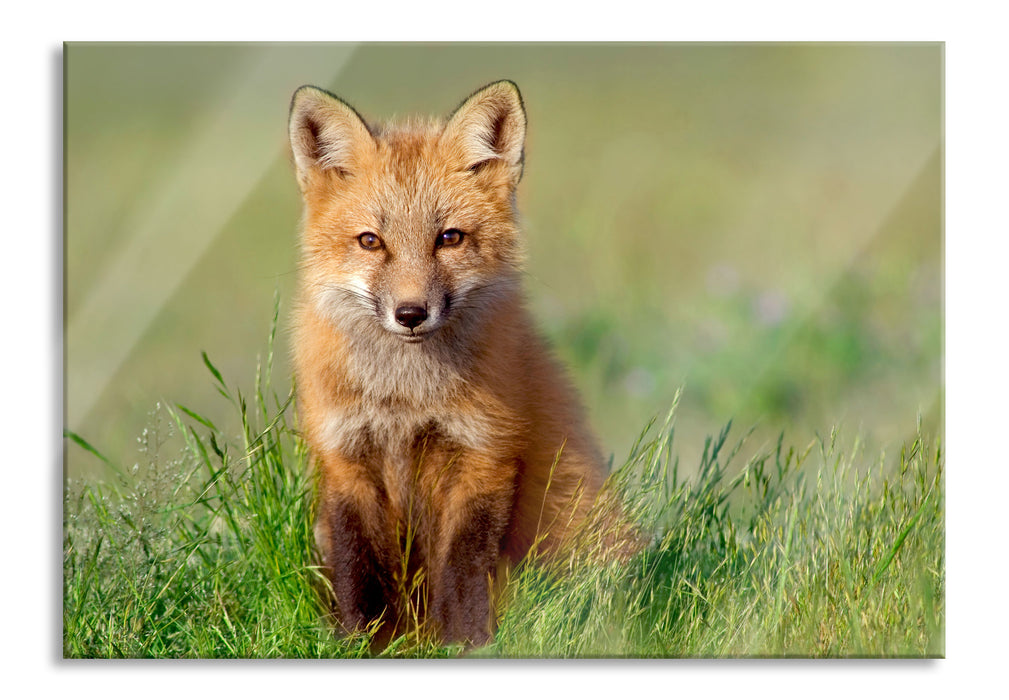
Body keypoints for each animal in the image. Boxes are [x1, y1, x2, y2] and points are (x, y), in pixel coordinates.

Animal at [288, 80, 624, 647]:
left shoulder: (484, 454)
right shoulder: (345, 457)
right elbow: (358, 570)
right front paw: (360, 644)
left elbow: (463, 571)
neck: (404, 399)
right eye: (370, 241)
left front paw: (465, 645)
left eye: (449, 238)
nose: (410, 314)